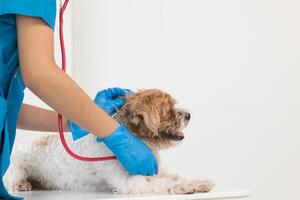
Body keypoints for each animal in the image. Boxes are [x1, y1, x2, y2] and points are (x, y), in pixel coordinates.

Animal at [3, 90, 214, 195]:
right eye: (168, 110)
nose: (188, 115)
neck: (136, 140)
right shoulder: (127, 183)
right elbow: (164, 184)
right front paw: (187, 188)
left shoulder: (157, 171)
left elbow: (175, 177)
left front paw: (198, 182)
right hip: (18, 166)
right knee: (14, 179)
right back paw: (22, 184)